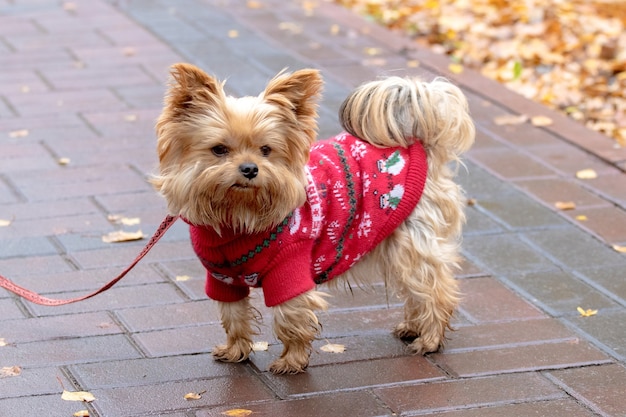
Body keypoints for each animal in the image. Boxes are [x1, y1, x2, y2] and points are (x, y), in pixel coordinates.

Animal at [151, 63, 472, 376]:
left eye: (266, 150)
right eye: (219, 150)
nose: (250, 169)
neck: (239, 216)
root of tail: (417, 144)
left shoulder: (290, 271)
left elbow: (290, 320)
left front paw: (292, 360)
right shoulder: (222, 279)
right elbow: (233, 316)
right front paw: (235, 350)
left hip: (411, 245)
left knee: (435, 290)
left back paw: (430, 339)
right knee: (419, 291)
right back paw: (413, 327)